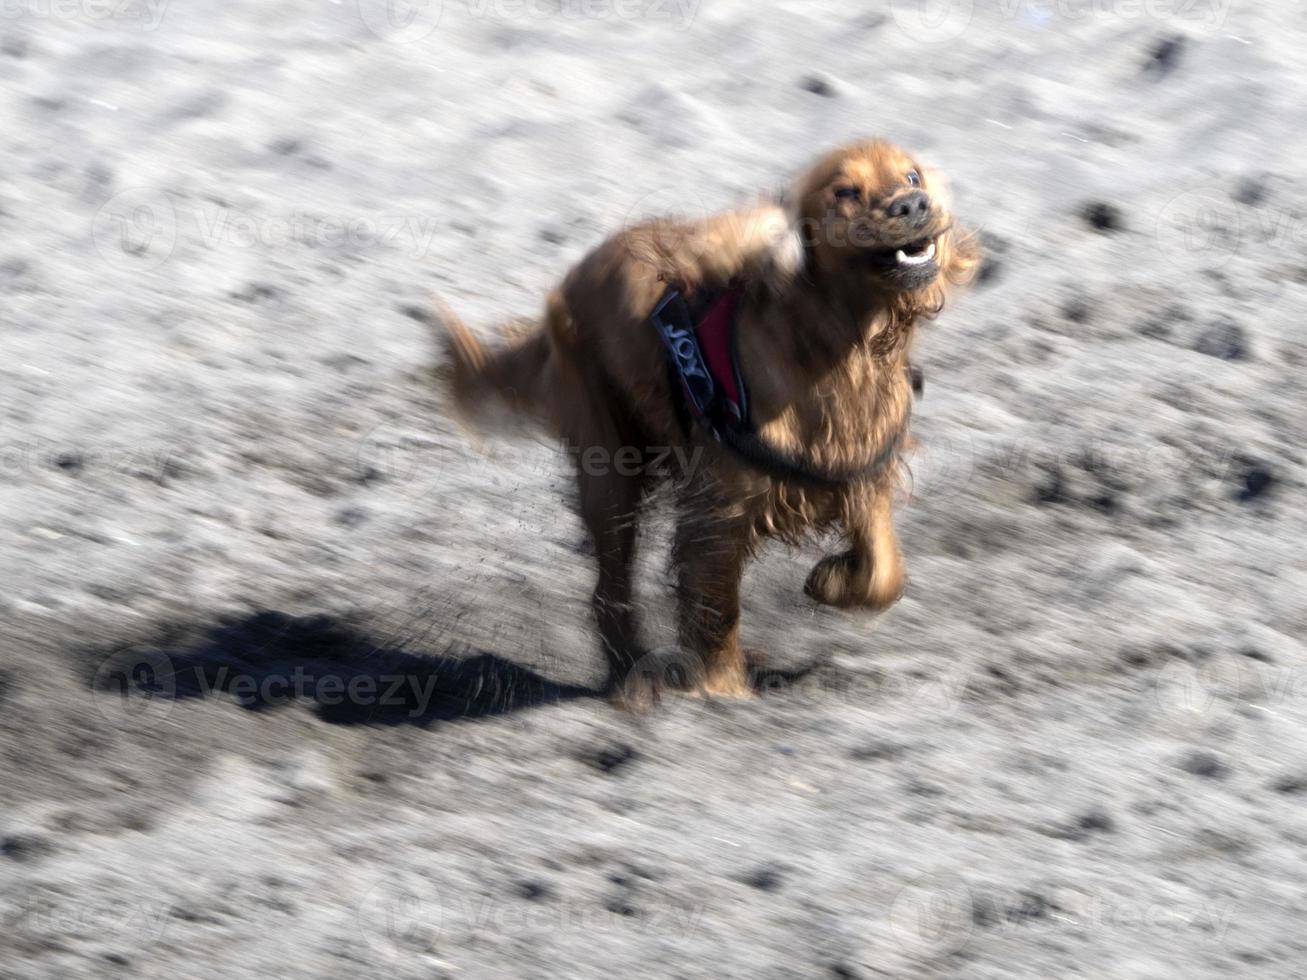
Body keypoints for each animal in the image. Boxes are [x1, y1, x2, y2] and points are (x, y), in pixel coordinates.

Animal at [444, 139, 977, 705]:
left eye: (913, 176)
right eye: (846, 191)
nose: (912, 205)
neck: (840, 348)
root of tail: (568, 281)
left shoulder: (862, 475)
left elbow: (884, 572)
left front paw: (830, 580)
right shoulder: (719, 509)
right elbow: (716, 606)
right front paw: (721, 689)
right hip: (610, 467)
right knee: (609, 587)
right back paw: (631, 677)